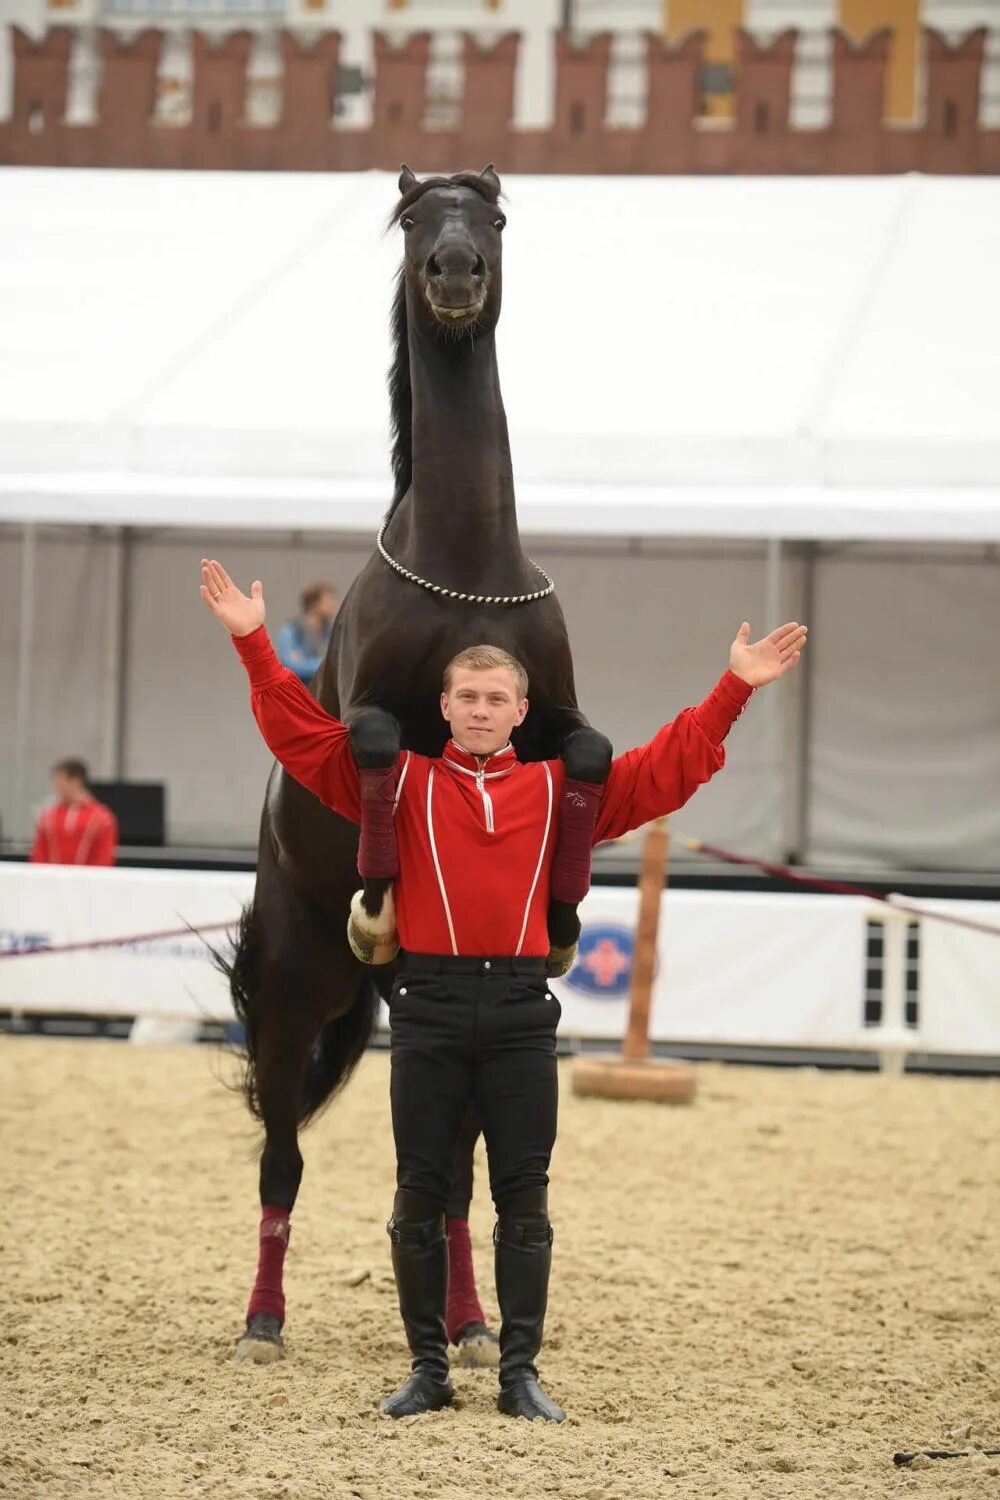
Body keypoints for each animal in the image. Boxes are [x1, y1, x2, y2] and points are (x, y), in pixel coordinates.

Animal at [226, 170, 611, 1368]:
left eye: (493, 216)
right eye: (410, 221)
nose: (454, 272)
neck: (464, 565)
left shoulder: (556, 714)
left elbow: (591, 753)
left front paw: (564, 913)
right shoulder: (363, 718)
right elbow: (383, 746)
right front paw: (380, 895)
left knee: (449, 1180)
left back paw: (473, 1324)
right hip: (293, 990)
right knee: (282, 1153)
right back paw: (262, 1323)